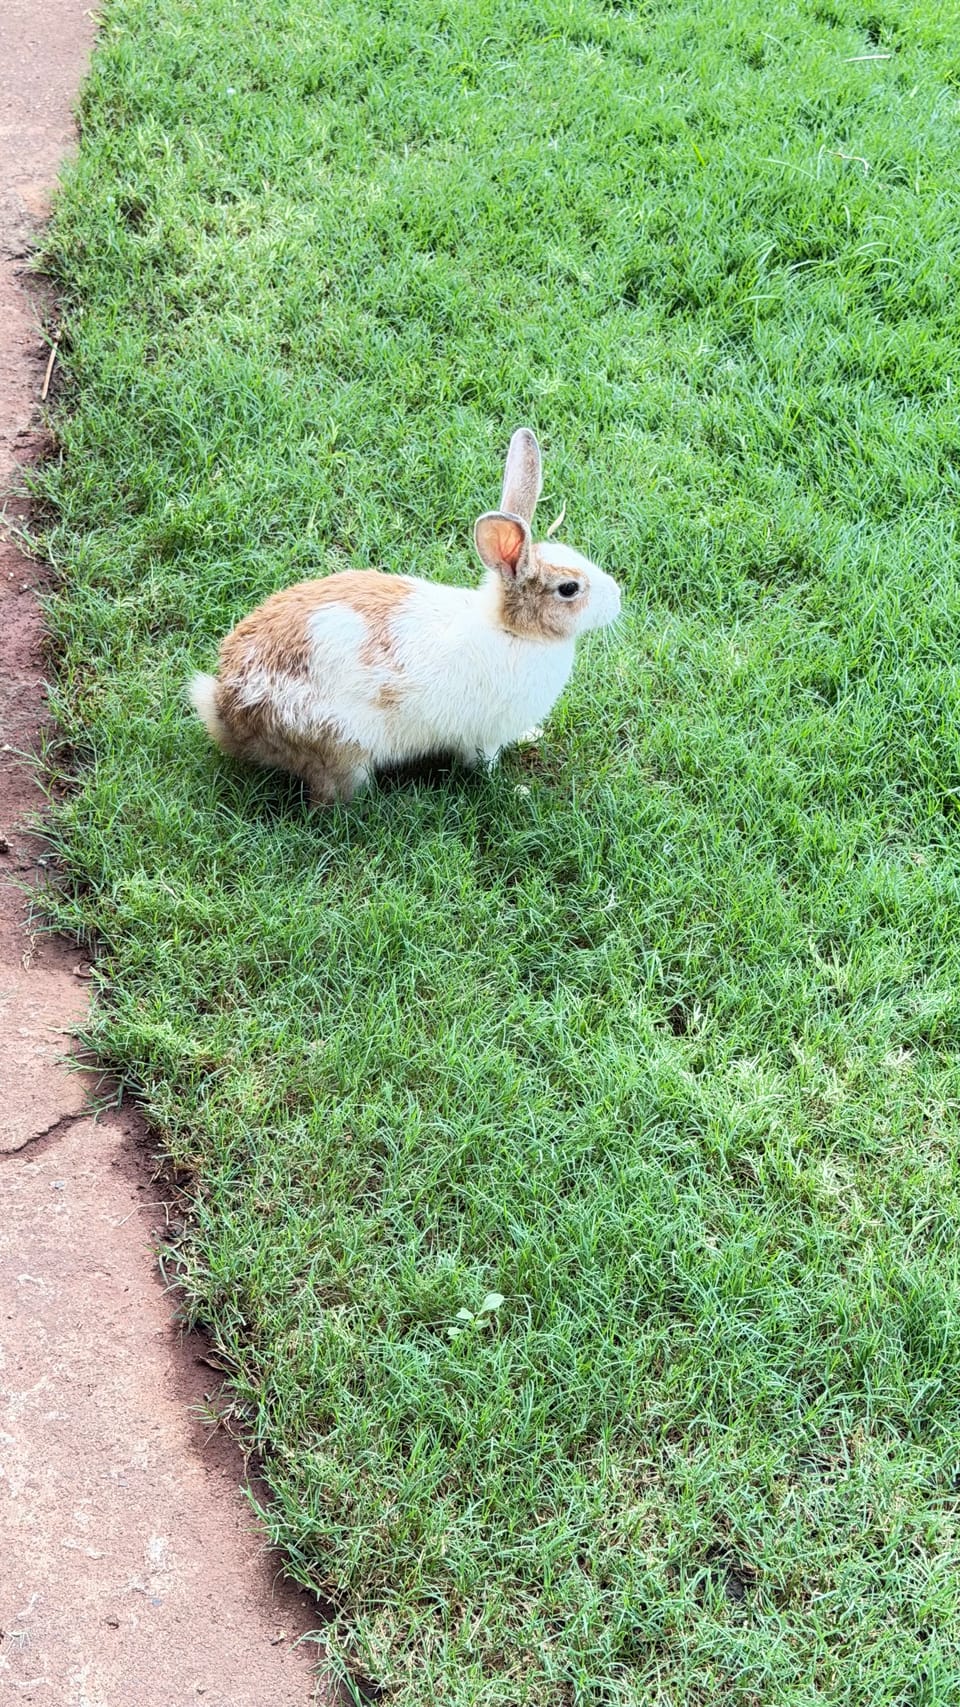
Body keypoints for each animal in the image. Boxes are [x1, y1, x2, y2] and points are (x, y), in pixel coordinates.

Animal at [189, 428, 621, 804]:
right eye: (569, 589)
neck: (511, 631)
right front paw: (517, 790)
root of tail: (228, 710)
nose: (617, 597)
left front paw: (533, 735)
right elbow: (484, 763)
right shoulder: (483, 737)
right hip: (342, 745)